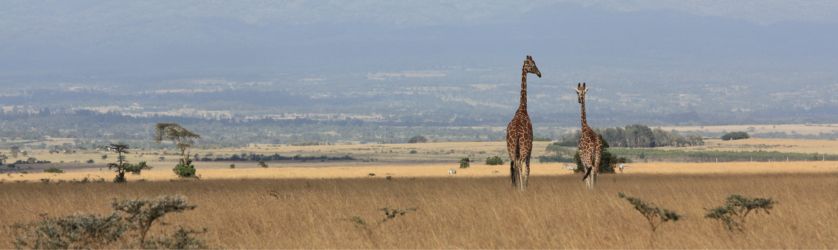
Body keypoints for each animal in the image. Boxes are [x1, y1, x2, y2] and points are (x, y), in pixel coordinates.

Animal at [506, 55, 544, 189]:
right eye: (532, 64)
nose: (539, 74)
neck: (522, 109)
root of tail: (517, 133)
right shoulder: (531, 146)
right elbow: (528, 168)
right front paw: (525, 187)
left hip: (511, 148)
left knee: (514, 165)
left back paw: (515, 187)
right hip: (524, 148)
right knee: (520, 165)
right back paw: (522, 188)